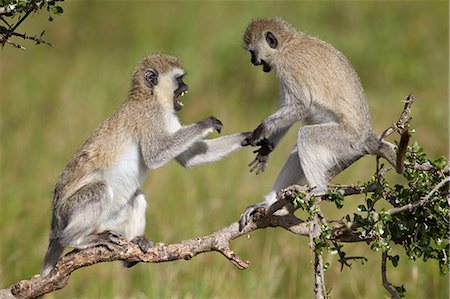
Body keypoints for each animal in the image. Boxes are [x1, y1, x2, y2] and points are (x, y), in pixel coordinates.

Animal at [42, 54, 250, 276]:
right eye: (179, 79)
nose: (187, 86)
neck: (149, 96)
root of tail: (55, 224)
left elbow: (188, 157)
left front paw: (250, 136)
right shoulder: (151, 115)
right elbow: (155, 155)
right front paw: (206, 123)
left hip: (107, 222)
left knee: (137, 198)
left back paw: (133, 248)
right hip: (68, 213)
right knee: (99, 191)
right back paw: (75, 239)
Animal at [239, 17, 400, 230]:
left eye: (252, 52)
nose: (252, 61)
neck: (288, 44)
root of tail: (366, 137)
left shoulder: (290, 67)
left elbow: (301, 105)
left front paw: (262, 129)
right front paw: (266, 149)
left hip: (346, 141)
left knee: (305, 136)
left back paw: (319, 191)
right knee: (297, 150)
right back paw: (269, 202)